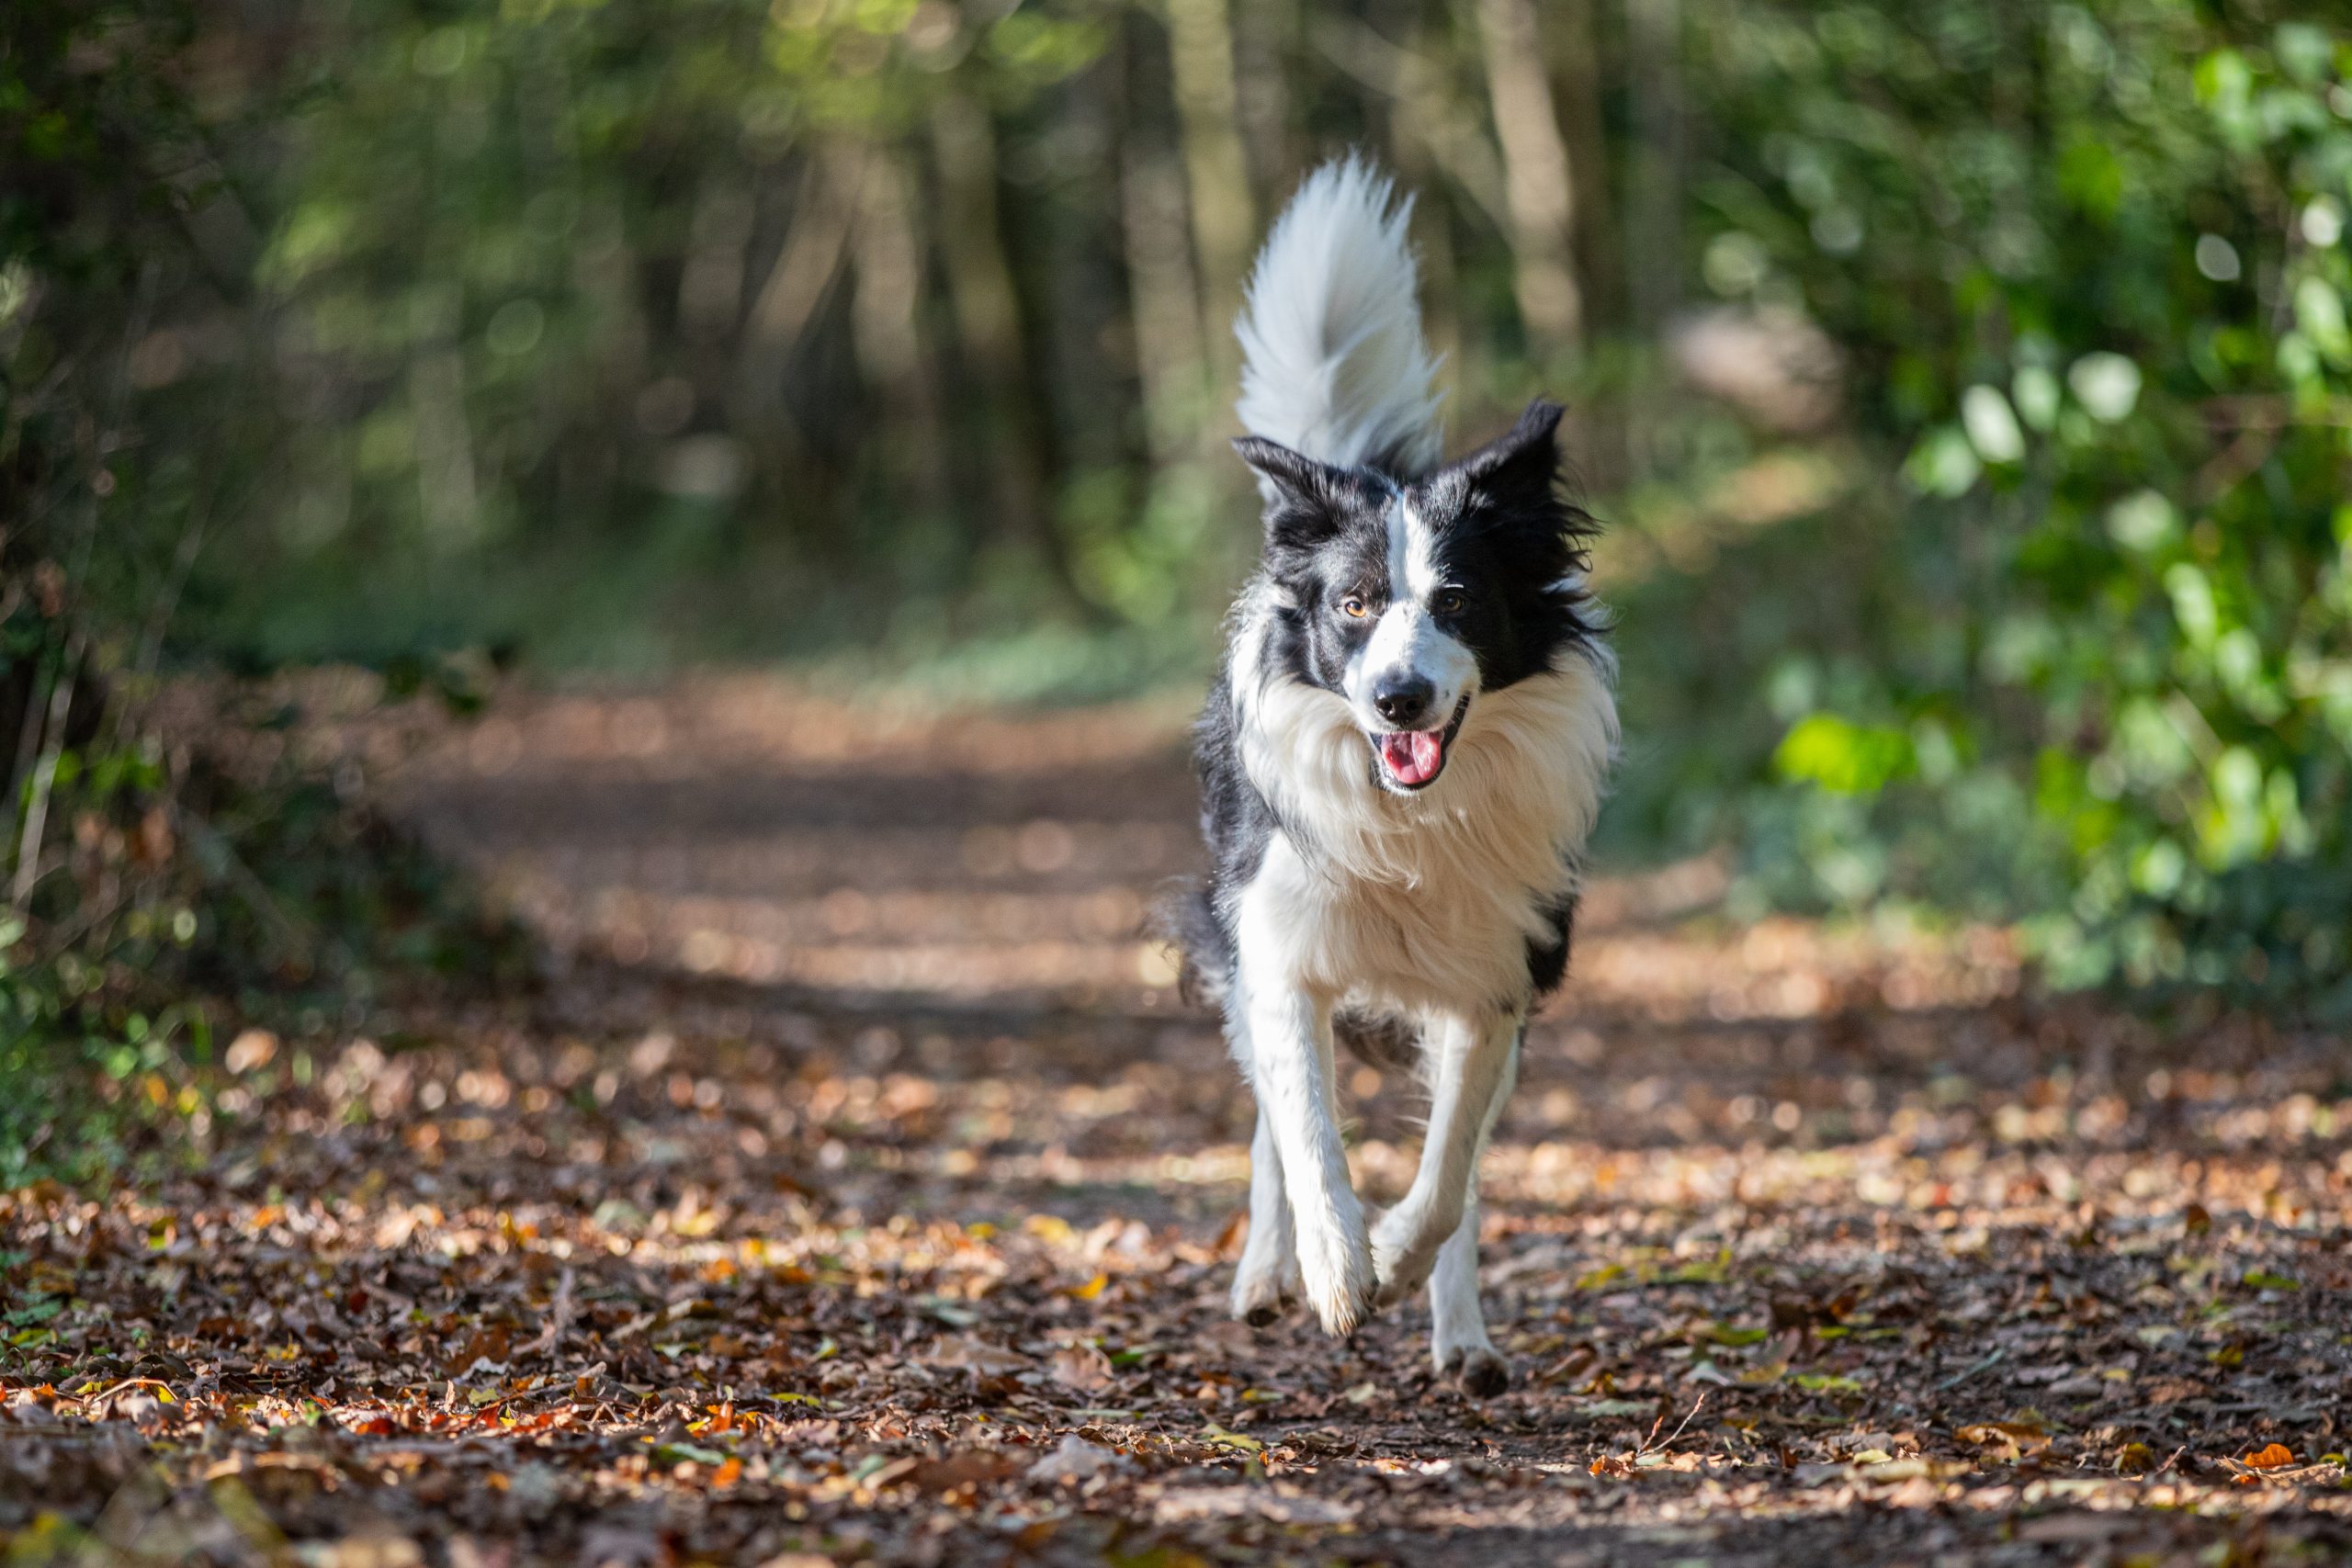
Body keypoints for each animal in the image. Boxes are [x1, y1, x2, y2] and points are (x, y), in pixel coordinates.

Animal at [1176, 152, 1618, 1392]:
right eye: (1354, 605)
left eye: (1458, 602)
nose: (1397, 700)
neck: (1412, 814)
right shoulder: (1276, 946)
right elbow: (1306, 1128)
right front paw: (1333, 1267)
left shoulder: (1504, 972)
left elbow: (1448, 1166)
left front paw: (1397, 1257)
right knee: (1268, 1125)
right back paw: (1267, 1275)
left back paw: (1460, 1335)